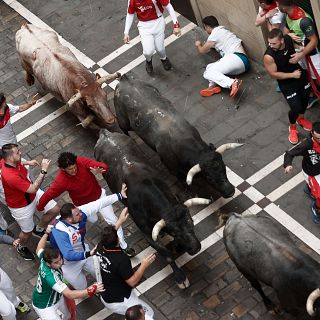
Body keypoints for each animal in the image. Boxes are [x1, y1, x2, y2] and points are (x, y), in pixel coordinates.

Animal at [94, 129, 210, 288]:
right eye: (174, 231)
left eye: (191, 222)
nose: (195, 247)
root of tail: (105, 134)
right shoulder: (147, 234)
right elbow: (167, 255)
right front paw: (180, 277)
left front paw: (179, 247)